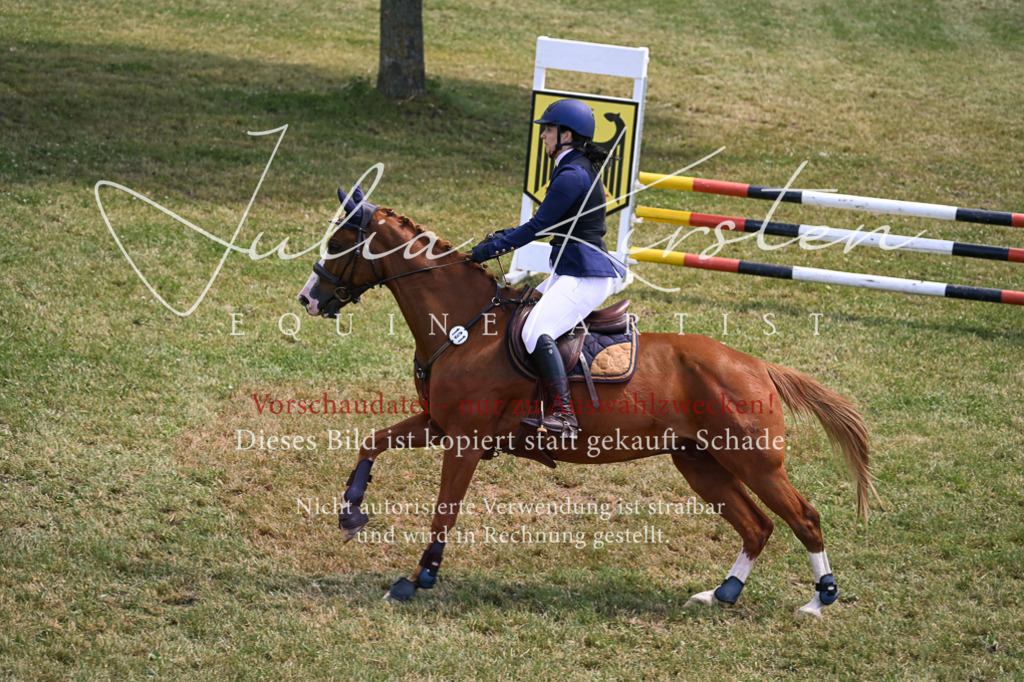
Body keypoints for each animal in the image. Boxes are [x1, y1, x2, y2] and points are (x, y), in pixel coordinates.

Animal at [297, 186, 878, 618]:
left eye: (341, 241)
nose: (308, 298)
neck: (465, 326)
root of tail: (758, 365)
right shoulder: (438, 424)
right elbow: (372, 442)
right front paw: (351, 512)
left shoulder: (462, 441)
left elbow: (444, 511)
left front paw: (419, 577)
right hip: (700, 462)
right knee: (756, 525)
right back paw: (721, 594)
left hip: (754, 460)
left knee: (804, 517)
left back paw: (819, 599)